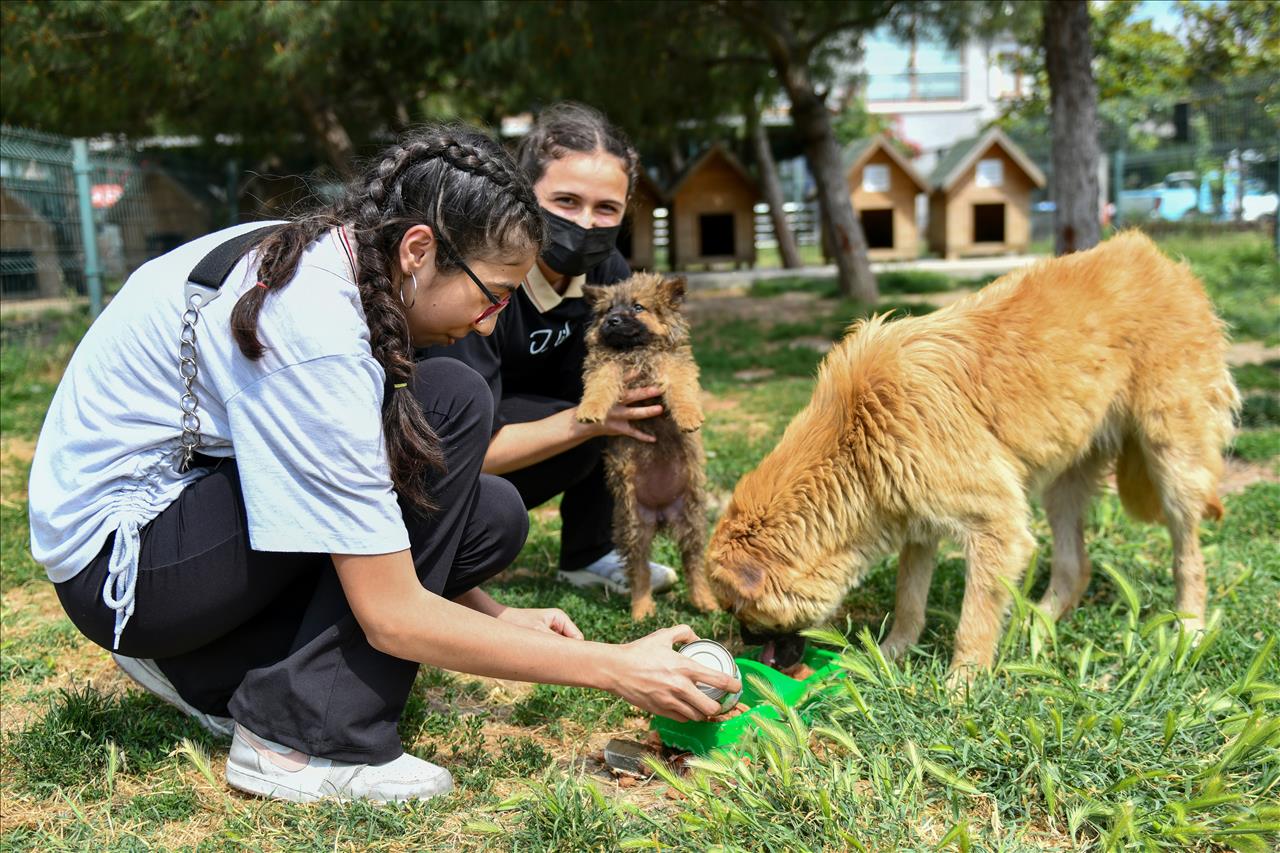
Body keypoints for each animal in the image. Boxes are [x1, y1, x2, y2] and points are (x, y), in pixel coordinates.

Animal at [581, 272, 721, 617]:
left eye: (638, 307)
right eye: (608, 310)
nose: (612, 321)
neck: (636, 349)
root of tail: (660, 514)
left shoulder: (673, 365)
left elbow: (680, 389)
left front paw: (688, 417)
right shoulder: (606, 365)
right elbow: (600, 385)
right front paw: (590, 409)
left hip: (692, 521)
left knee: (692, 564)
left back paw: (704, 601)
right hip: (633, 527)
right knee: (640, 571)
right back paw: (642, 609)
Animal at [711, 229, 1239, 681]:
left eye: (742, 611)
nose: (746, 647)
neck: (855, 435)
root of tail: (1161, 262)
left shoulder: (995, 528)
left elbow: (974, 620)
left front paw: (961, 686)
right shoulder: (916, 521)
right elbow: (909, 600)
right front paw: (890, 658)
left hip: (1173, 462)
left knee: (1188, 554)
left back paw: (1189, 627)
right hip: (1064, 484)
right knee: (1074, 567)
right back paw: (1036, 623)